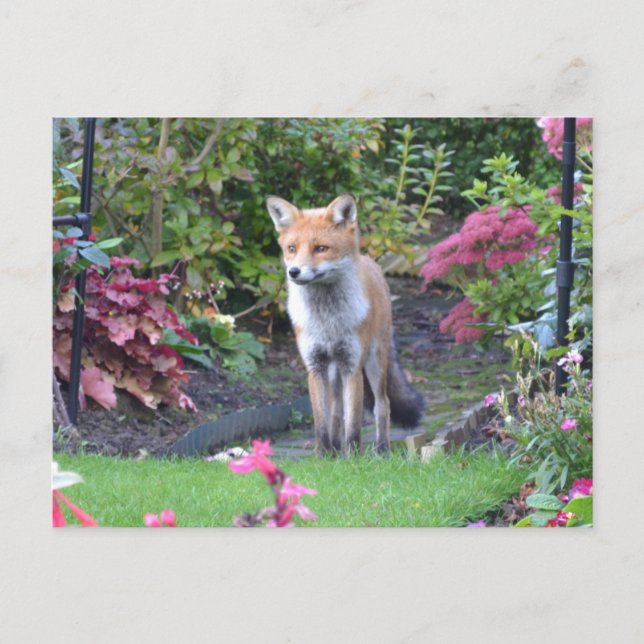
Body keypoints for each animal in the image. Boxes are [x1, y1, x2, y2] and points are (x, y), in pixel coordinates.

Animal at [266, 193, 424, 455]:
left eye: (321, 248)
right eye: (292, 249)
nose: (294, 271)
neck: (327, 321)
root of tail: (371, 261)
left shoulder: (352, 365)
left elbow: (354, 423)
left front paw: (353, 457)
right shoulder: (315, 366)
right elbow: (322, 421)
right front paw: (322, 454)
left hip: (374, 362)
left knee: (383, 404)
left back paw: (382, 448)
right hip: (333, 372)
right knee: (336, 410)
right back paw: (334, 449)